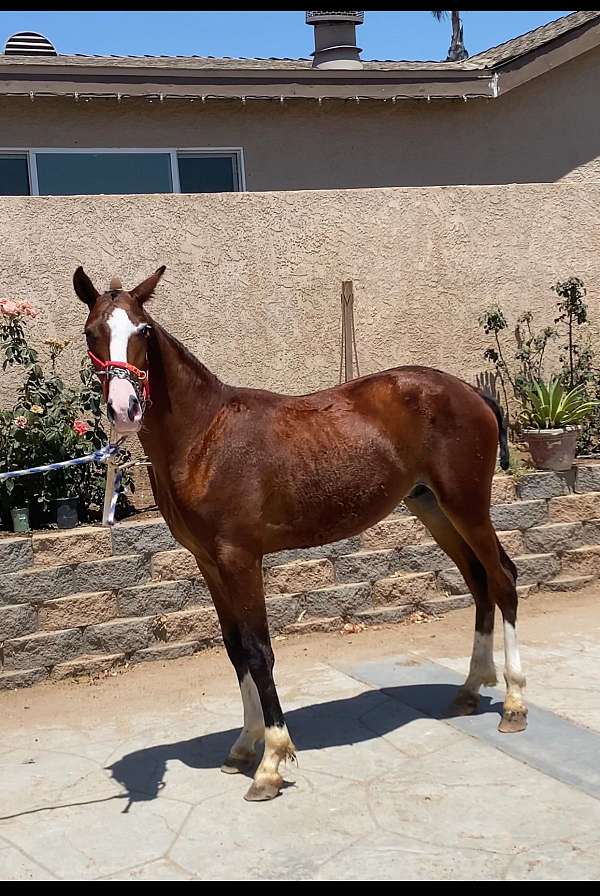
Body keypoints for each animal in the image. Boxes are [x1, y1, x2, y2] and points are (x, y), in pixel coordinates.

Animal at [74, 262, 524, 800]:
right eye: (92, 333)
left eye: (142, 330)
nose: (125, 407)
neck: (205, 436)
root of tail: (471, 391)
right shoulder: (208, 562)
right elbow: (235, 648)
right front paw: (244, 745)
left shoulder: (240, 558)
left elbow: (258, 650)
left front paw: (271, 761)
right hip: (433, 509)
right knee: (478, 581)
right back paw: (471, 689)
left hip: (467, 507)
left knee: (502, 579)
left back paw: (514, 706)